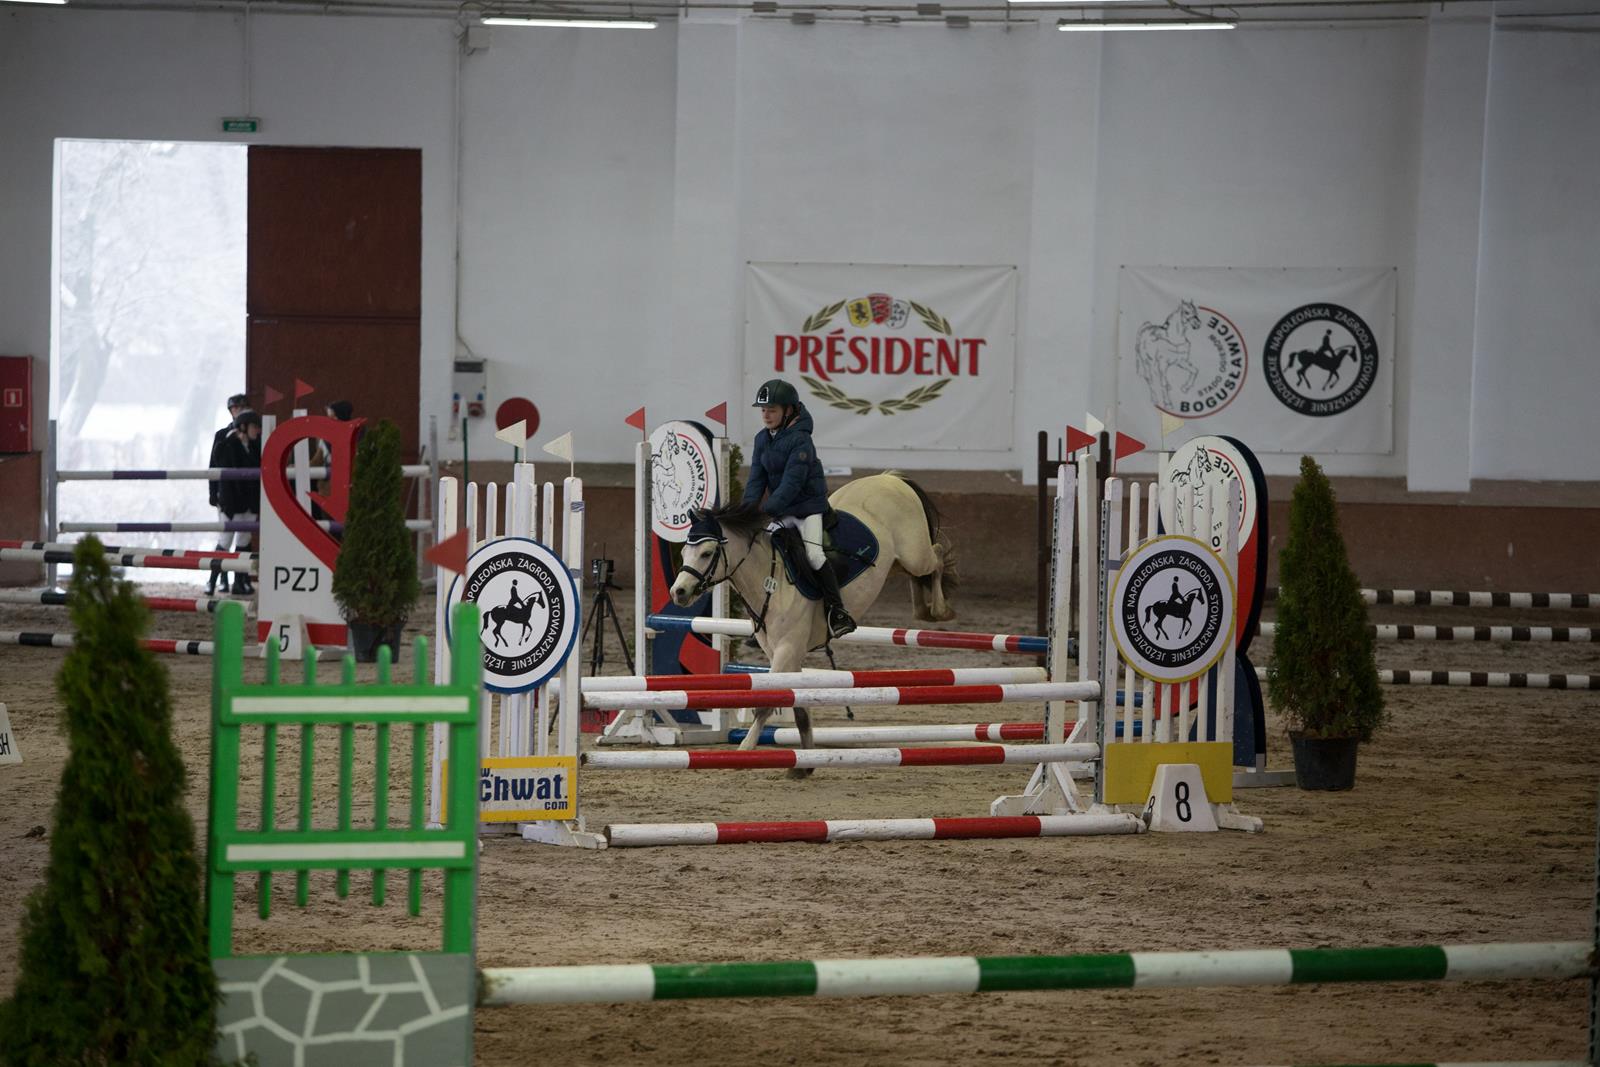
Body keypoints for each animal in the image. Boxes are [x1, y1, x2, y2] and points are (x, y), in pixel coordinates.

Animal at [669, 473, 957, 762]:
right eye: (683, 553)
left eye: (706, 553)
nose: (678, 592)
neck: (769, 578)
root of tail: (888, 477)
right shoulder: (783, 652)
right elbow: (798, 703)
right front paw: (807, 754)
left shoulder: (787, 649)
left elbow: (768, 703)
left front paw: (746, 749)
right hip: (897, 563)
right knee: (917, 576)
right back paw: (924, 609)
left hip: (915, 554)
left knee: (937, 556)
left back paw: (941, 610)